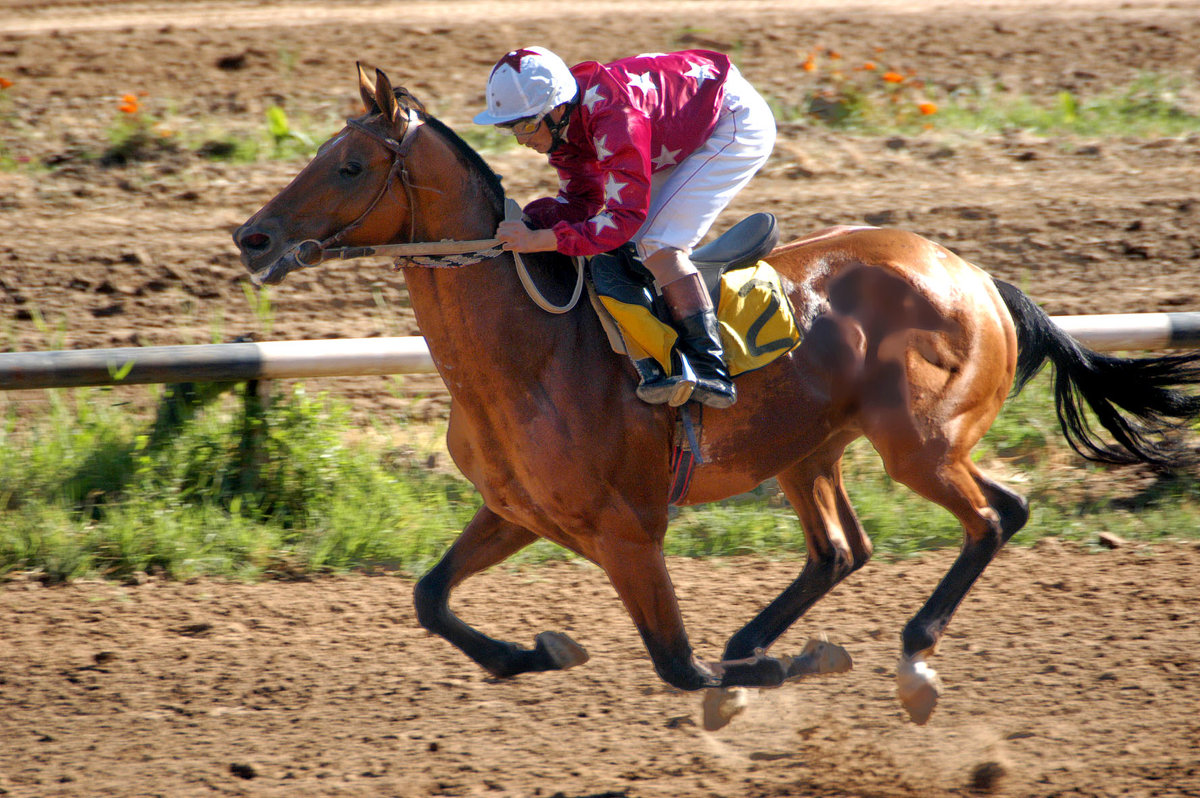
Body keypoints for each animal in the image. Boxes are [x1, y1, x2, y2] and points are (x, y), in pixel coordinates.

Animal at [231, 68, 1200, 724]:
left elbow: (680, 666)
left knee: (993, 515)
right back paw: (768, 637)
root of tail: (976, 274)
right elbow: (431, 598)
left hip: (917, 441)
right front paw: (533, 651)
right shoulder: (518, 510)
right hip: (812, 450)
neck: (527, 354)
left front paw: (779, 672)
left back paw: (910, 658)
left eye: (351, 165)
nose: (253, 237)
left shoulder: (628, 531)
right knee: (849, 548)